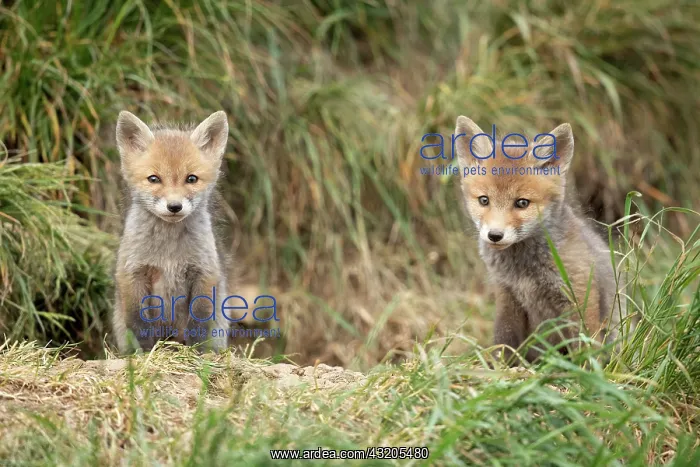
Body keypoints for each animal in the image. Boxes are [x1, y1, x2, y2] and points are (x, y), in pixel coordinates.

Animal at [111, 110, 234, 354]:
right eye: (154, 179)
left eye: (191, 179)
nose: (174, 207)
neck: (168, 254)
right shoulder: (132, 273)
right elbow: (138, 324)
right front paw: (144, 354)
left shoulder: (205, 273)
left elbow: (199, 320)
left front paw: (197, 354)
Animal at [453, 116, 625, 364]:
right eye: (484, 200)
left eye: (522, 203)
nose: (495, 235)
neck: (524, 272)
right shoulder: (507, 297)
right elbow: (504, 340)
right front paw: (499, 367)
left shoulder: (579, 296)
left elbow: (585, 343)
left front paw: (587, 370)